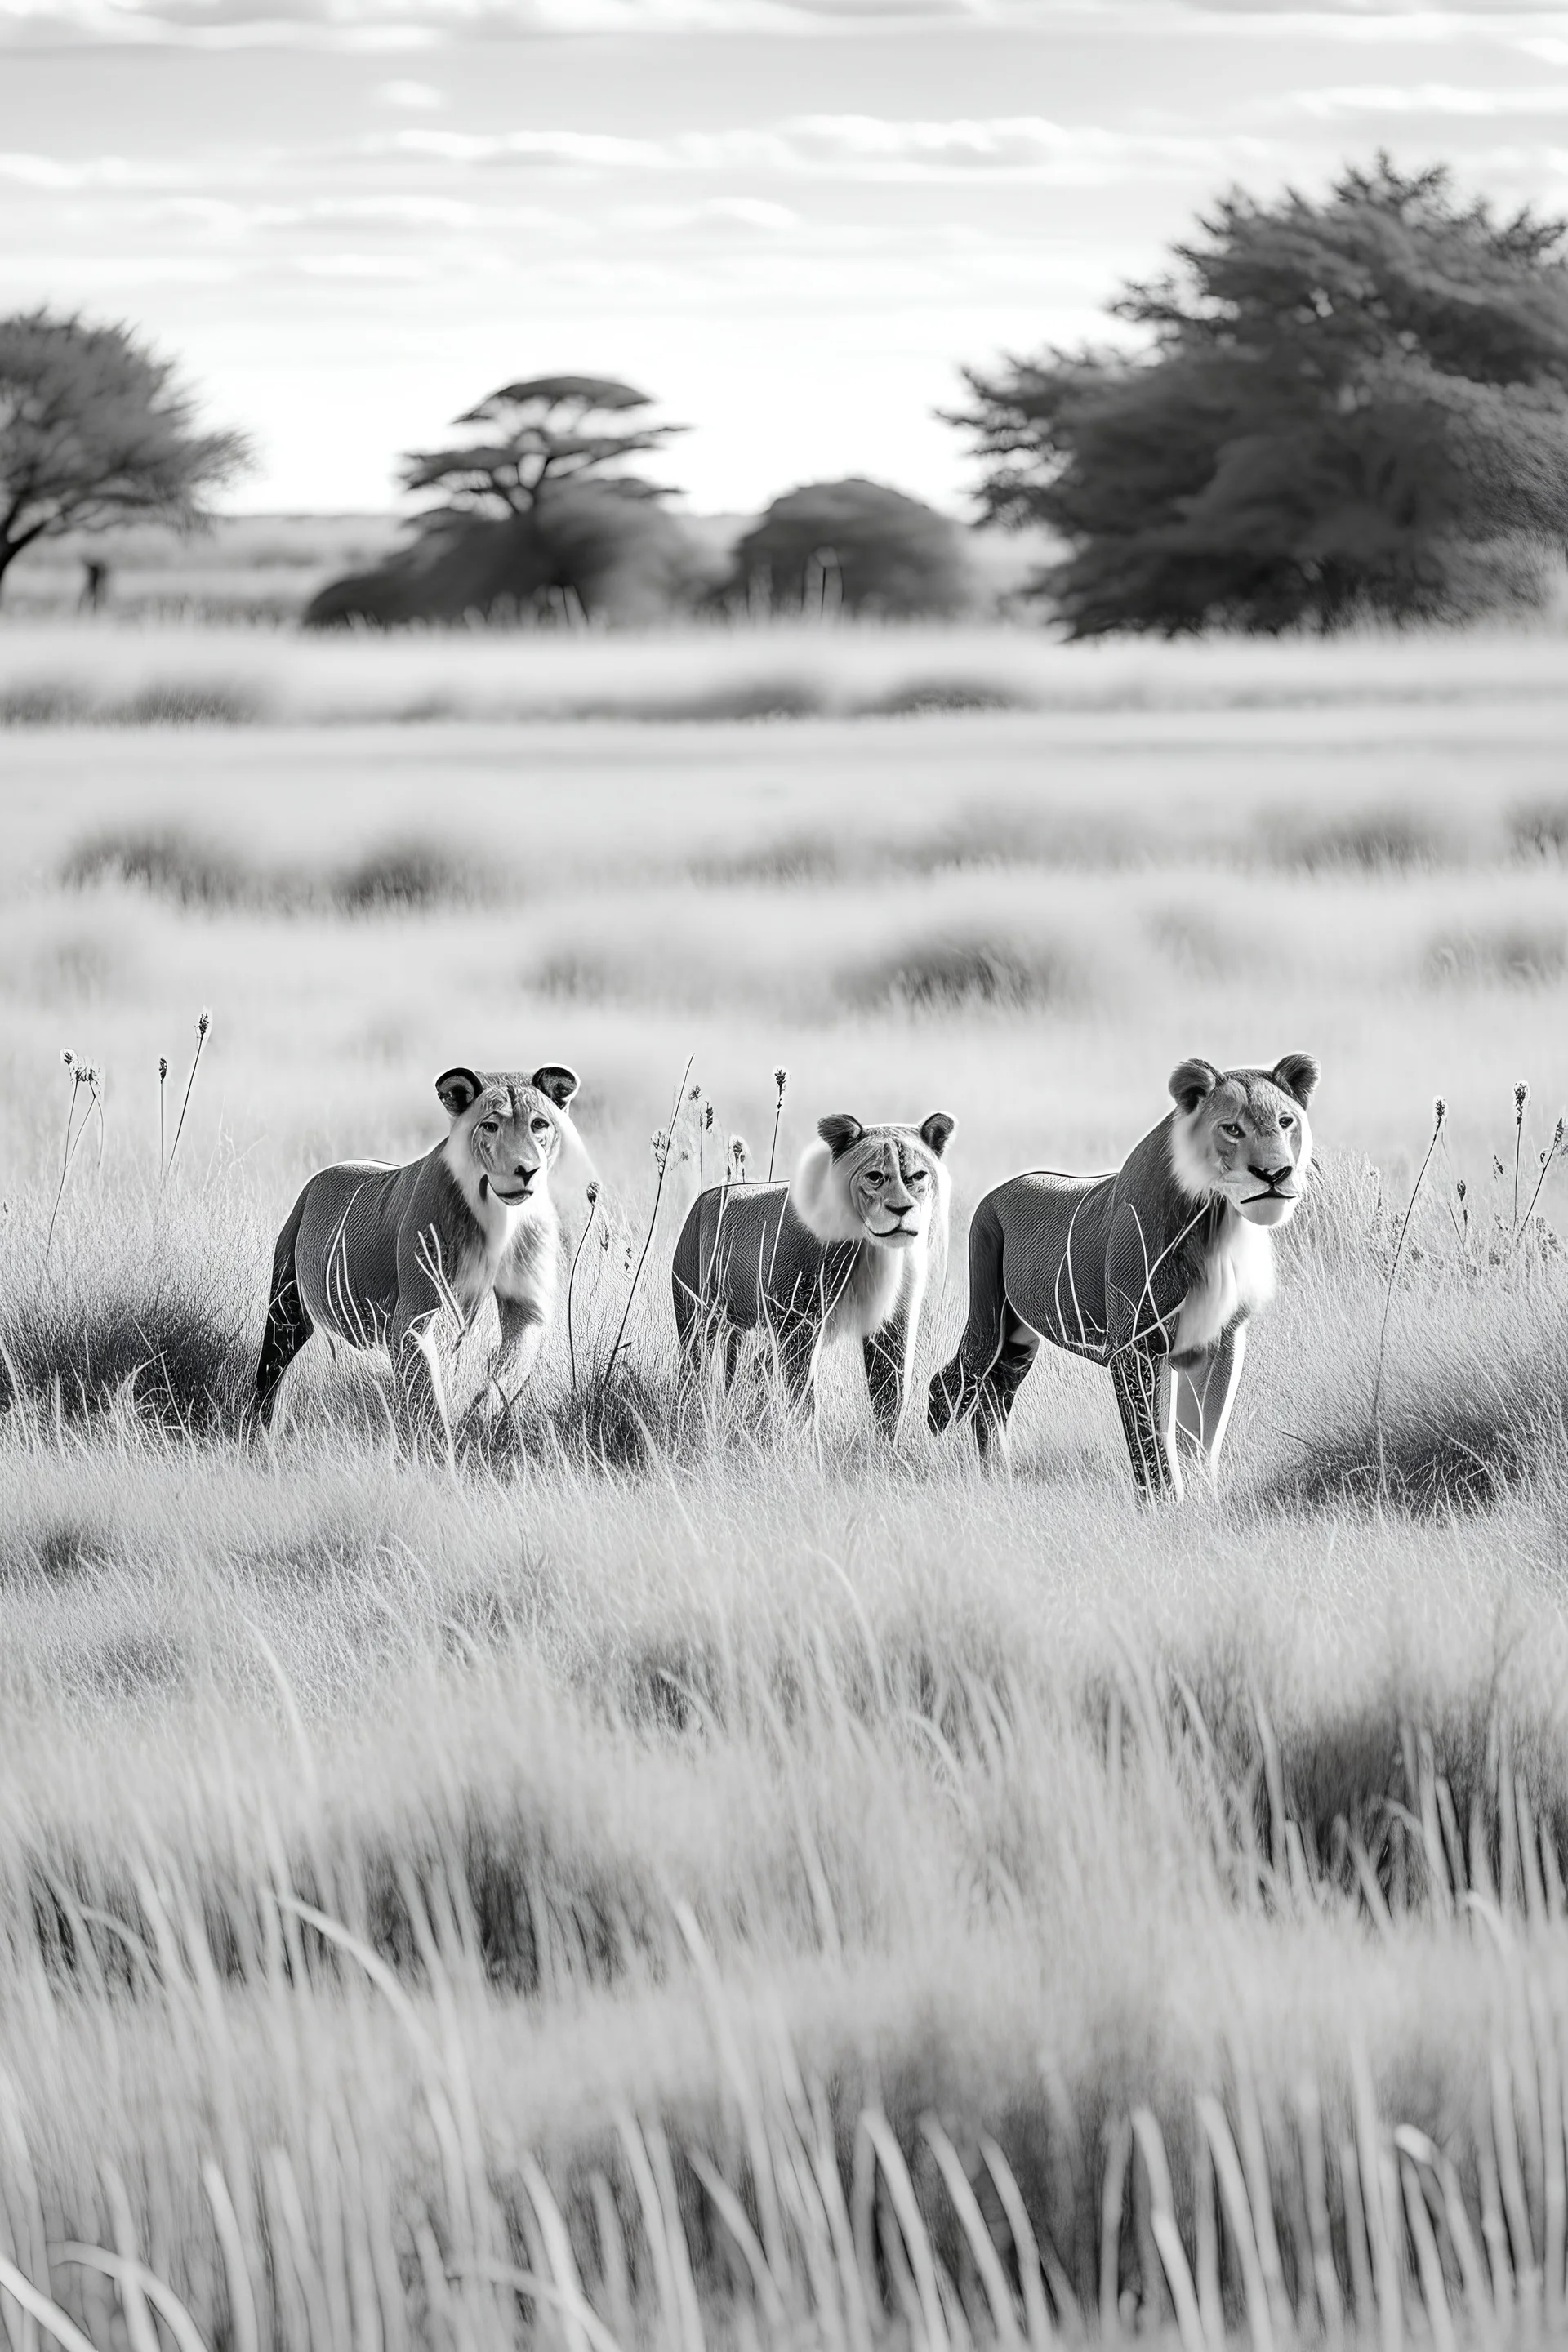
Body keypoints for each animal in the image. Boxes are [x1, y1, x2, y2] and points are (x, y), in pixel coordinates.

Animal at [252, 1067, 582, 1430]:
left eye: (539, 1124)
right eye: (490, 1126)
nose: (525, 1170)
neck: (500, 1216)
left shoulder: (526, 1312)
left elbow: (506, 1374)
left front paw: (475, 1426)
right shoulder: (414, 1319)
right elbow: (427, 1399)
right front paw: (441, 1442)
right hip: (286, 1309)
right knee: (270, 1372)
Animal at [672, 1115, 959, 1439]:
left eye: (916, 1176)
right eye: (875, 1177)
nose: (901, 1209)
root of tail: (703, 1199)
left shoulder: (891, 1324)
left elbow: (889, 1393)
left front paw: (886, 1447)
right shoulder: (798, 1322)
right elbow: (803, 1395)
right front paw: (806, 1444)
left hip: (739, 1326)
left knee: (746, 1367)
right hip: (697, 1319)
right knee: (694, 1370)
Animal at [930, 1058, 1325, 1495]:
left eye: (1285, 1121)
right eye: (1232, 1128)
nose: (1275, 1172)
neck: (1217, 1222)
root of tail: (996, 1191)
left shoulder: (1221, 1342)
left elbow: (1200, 1437)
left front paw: (1203, 1498)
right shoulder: (1135, 1349)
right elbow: (1150, 1440)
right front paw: (1164, 1504)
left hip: (1019, 1338)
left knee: (996, 1392)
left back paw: (998, 1475)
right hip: (988, 1320)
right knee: (958, 1381)